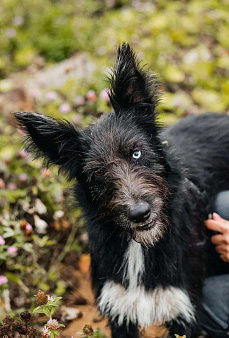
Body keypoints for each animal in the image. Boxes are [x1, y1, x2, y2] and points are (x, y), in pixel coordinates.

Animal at [14, 43, 229, 336]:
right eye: (99, 172)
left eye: (136, 153)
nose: (140, 214)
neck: (137, 246)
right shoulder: (119, 308)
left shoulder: (184, 311)